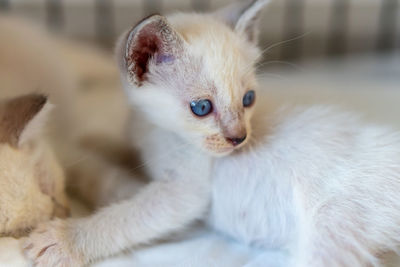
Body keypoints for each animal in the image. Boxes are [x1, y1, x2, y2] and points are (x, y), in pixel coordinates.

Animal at [23, 1, 400, 266]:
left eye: (248, 99)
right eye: (202, 108)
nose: (239, 138)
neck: (160, 132)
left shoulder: (183, 193)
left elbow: (129, 211)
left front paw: (67, 239)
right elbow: (121, 155)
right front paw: (95, 143)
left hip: (333, 222)